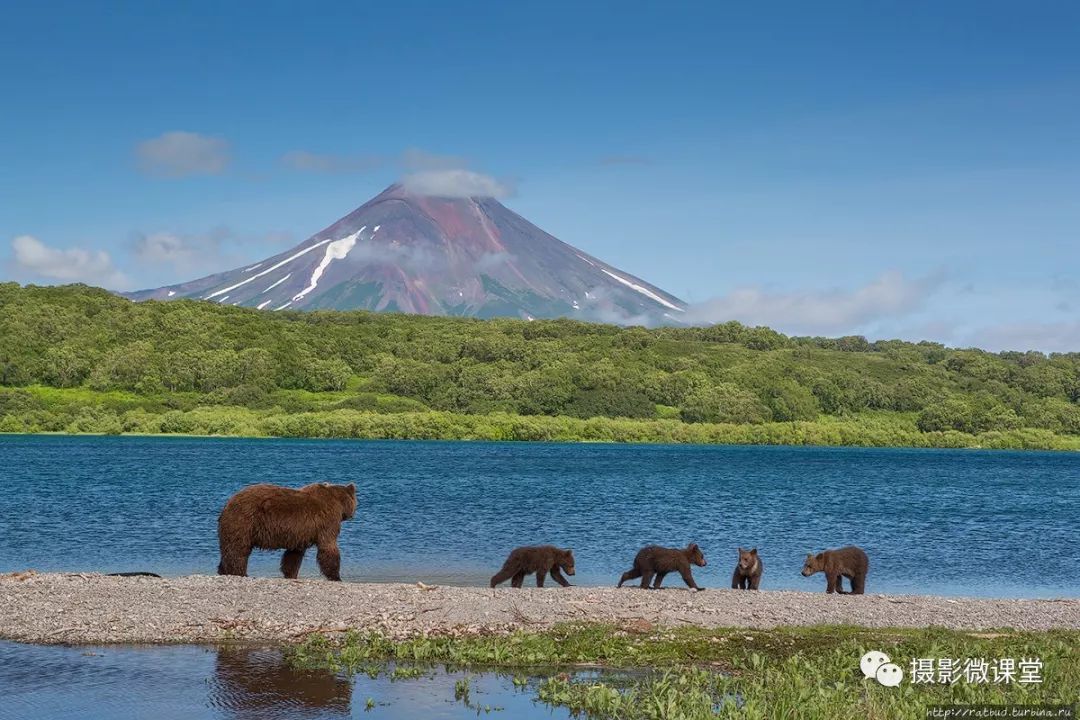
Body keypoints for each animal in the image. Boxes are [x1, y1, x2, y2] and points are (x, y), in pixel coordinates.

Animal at [216, 483, 358, 578]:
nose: (352, 515)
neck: (339, 503)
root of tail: (227, 503)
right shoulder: (327, 521)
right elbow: (328, 547)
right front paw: (336, 576)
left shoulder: (300, 533)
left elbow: (294, 555)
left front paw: (291, 574)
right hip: (244, 521)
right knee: (238, 550)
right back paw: (240, 573)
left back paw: (223, 571)